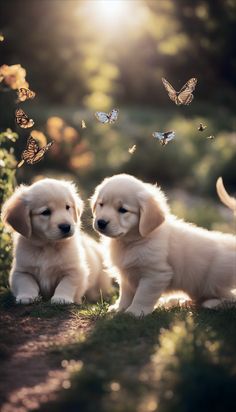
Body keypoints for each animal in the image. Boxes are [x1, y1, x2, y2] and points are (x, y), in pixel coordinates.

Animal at [91, 173, 236, 316]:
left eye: (122, 210)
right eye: (101, 204)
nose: (101, 222)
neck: (132, 242)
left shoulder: (155, 275)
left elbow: (142, 295)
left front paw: (135, 312)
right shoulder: (126, 275)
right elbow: (125, 294)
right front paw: (119, 308)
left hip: (215, 280)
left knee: (230, 297)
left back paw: (212, 303)